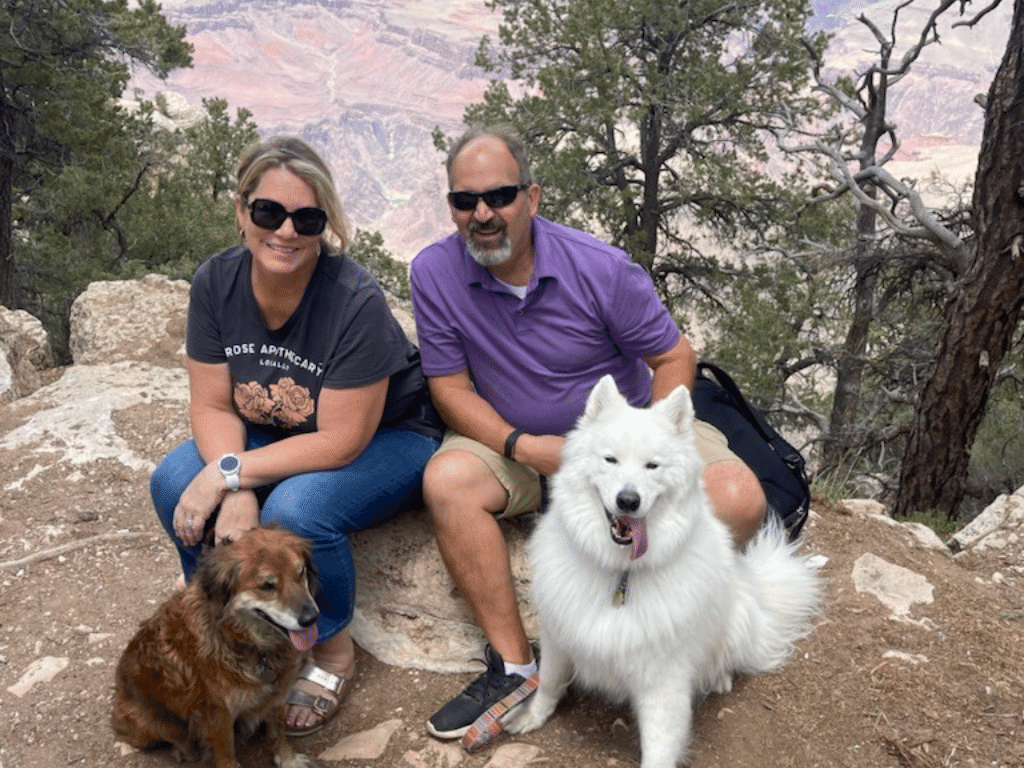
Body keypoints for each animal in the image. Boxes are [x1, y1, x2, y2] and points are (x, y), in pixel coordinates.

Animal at [111, 528, 319, 768]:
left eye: (301, 572)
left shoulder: (277, 696)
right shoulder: (217, 714)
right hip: (150, 724)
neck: (247, 643)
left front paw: (289, 760)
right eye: (267, 585)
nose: (312, 618)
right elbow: (226, 755)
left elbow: (278, 732)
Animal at [503, 376, 823, 765]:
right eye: (610, 459)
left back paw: (718, 678)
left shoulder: (663, 676)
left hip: (734, 617)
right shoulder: (559, 635)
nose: (628, 500)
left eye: (652, 466)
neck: (620, 573)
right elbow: (549, 682)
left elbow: (660, 742)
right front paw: (531, 716)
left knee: (725, 657)